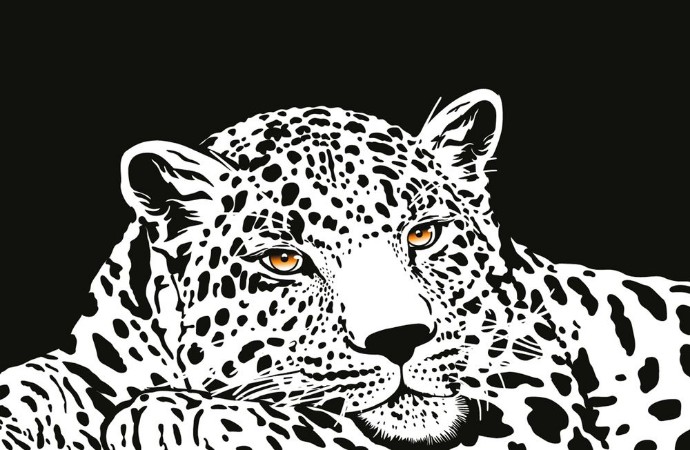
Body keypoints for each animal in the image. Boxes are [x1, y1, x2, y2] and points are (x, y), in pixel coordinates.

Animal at [1, 89, 688, 449]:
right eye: (285, 260)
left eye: (424, 234)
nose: (402, 340)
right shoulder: (95, 360)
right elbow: (39, 380)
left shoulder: (533, 395)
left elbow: (321, 425)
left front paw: (181, 416)